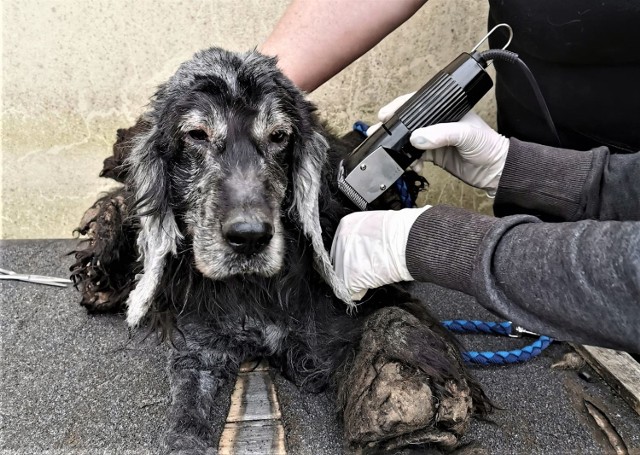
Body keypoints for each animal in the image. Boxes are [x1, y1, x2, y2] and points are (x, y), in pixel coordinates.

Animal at [70, 48, 490, 454]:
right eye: (196, 134)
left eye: (279, 136)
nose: (249, 237)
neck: (252, 287)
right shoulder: (198, 341)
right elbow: (185, 413)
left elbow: (391, 315)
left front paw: (403, 395)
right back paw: (102, 257)